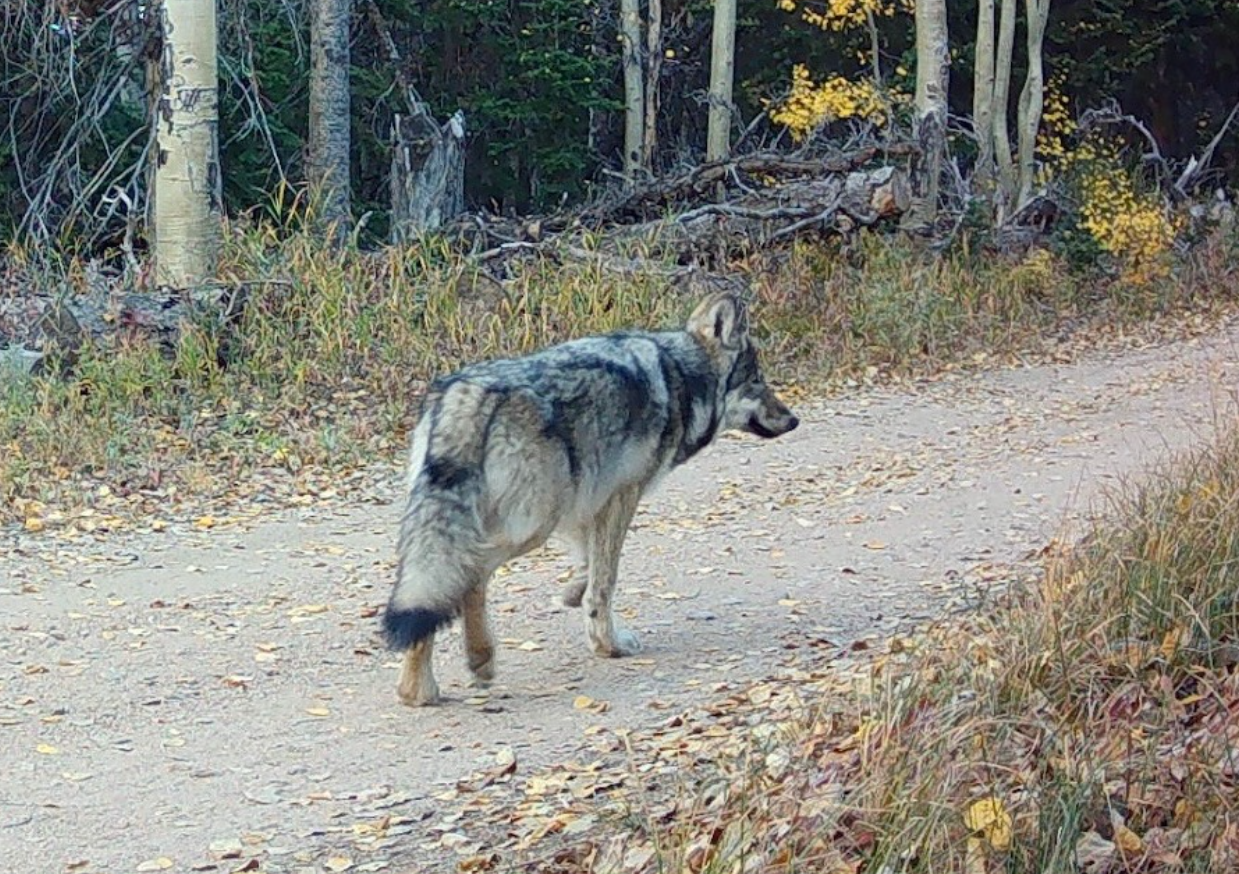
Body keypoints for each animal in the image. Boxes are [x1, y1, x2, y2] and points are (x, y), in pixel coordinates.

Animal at [382, 292, 799, 705]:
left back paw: (418, 688)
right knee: (468, 577)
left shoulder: (586, 505)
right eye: (757, 381)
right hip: (532, 526)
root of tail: (465, 392)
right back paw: (474, 662)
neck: (681, 377)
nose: (794, 420)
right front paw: (609, 645)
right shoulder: (621, 495)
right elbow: (605, 579)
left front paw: (572, 594)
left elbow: (589, 565)